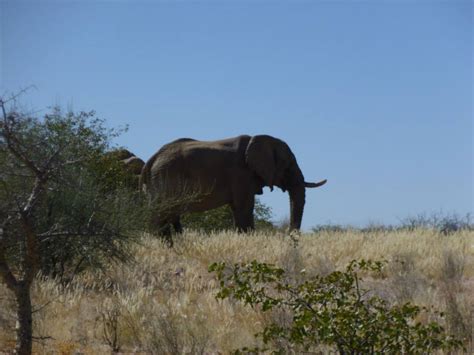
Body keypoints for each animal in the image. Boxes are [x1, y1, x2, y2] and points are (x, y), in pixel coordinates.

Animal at [141, 134, 326, 245]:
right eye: (288, 165)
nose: (290, 237)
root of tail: (151, 159)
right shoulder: (240, 174)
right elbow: (244, 208)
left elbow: (238, 209)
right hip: (166, 178)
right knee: (161, 215)